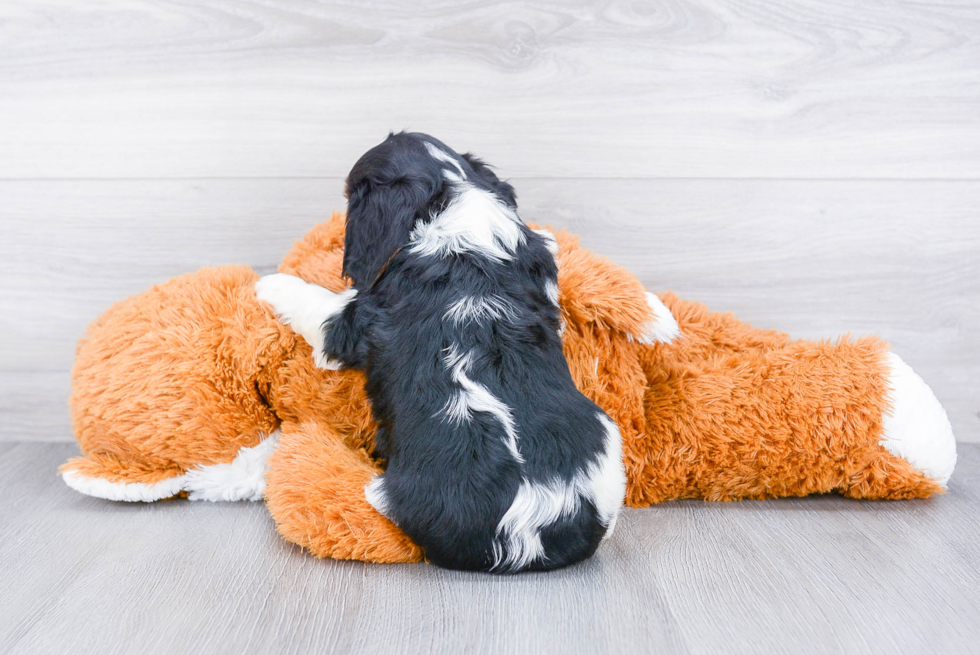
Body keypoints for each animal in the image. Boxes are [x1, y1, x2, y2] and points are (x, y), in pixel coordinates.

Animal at [256, 133, 624, 576]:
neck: (449, 196)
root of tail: (528, 533)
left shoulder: (351, 321)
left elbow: (310, 300)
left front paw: (266, 284)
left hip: (387, 494)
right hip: (607, 439)